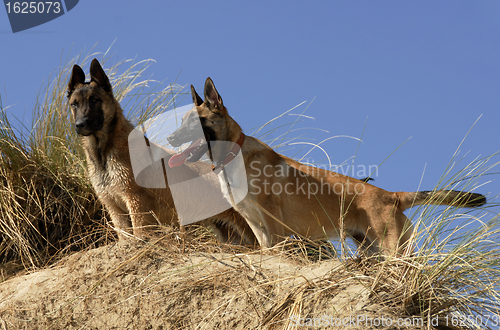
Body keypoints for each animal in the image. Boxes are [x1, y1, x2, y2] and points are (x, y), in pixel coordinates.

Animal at [66, 60, 254, 245]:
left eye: (94, 100)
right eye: (74, 104)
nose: (80, 124)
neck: (102, 153)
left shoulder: (135, 200)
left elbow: (139, 233)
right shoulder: (115, 208)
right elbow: (125, 236)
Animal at [167, 78, 484, 255]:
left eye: (195, 123)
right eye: (181, 122)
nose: (169, 138)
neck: (233, 156)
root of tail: (392, 196)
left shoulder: (273, 222)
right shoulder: (257, 226)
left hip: (393, 251)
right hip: (374, 251)